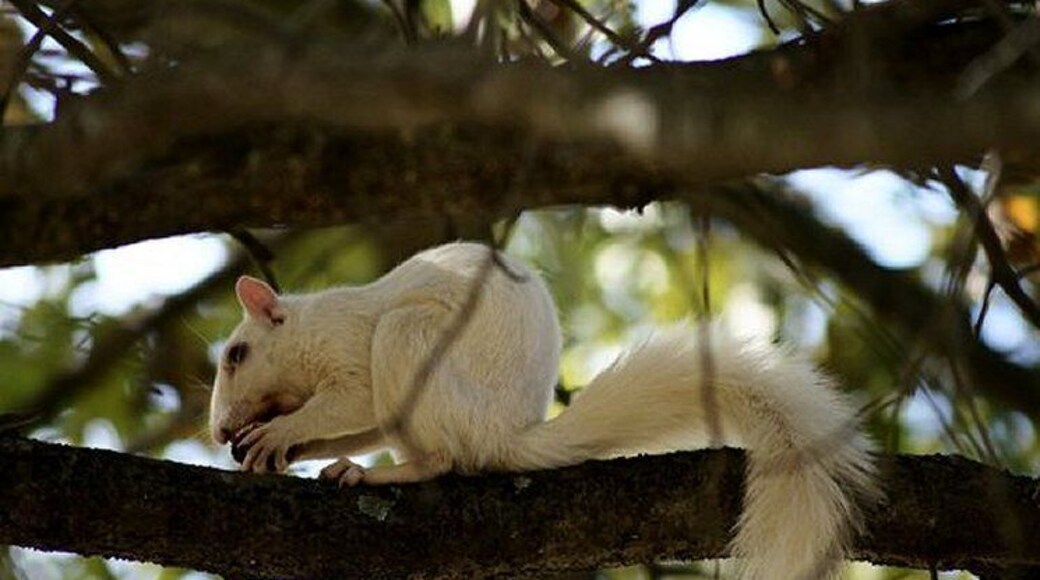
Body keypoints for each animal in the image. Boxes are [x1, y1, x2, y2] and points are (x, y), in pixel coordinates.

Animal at [210, 241, 879, 580]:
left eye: (237, 355)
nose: (219, 431)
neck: (307, 327)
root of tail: (506, 435)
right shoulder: (372, 410)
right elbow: (358, 423)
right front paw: (276, 448)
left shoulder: (351, 351)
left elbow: (349, 401)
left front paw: (281, 432)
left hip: (408, 342)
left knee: (446, 458)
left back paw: (381, 473)